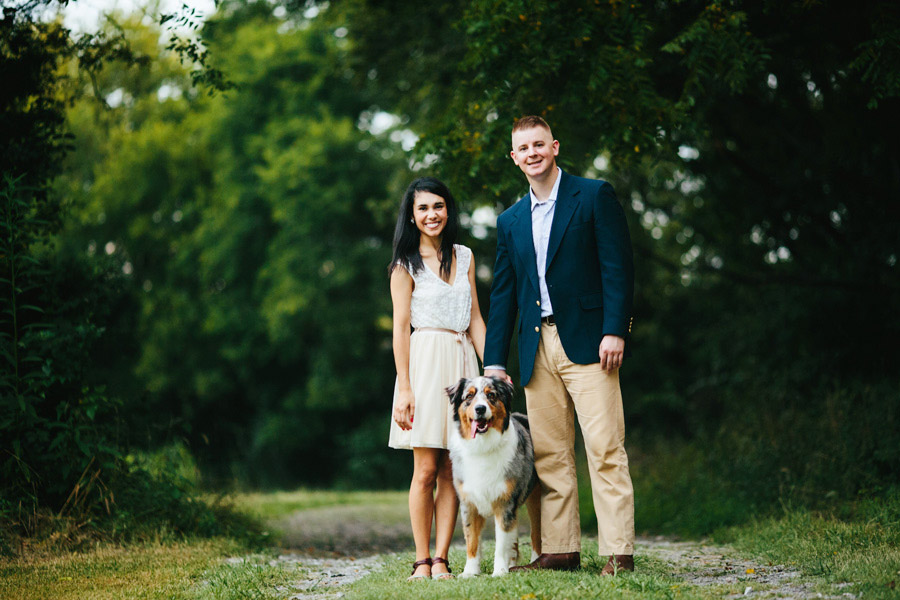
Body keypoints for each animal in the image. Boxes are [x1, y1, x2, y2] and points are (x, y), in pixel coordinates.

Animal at [444, 376, 540, 576]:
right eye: (469, 396)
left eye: (491, 395)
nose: (480, 409)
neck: (482, 446)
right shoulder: (469, 504)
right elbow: (472, 541)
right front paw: (470, 572)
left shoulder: (504, 503)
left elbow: (501, 544)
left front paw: (500, 571)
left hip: (536, 499)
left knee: (537, 534)